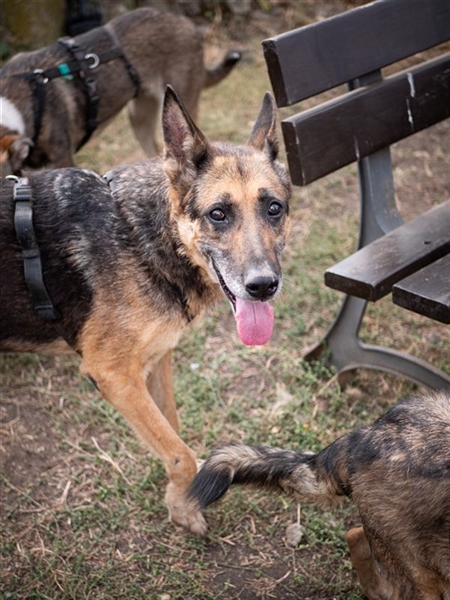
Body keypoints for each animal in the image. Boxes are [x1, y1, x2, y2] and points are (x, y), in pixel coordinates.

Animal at [0, 86, 291, 534]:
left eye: (273, 208)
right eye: (218, 214)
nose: (262, 286)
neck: (142, 235)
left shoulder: (155, 360)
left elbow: (172, 429)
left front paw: (181, 493)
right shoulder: (114, 375)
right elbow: (180, 452)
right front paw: (184, 504)